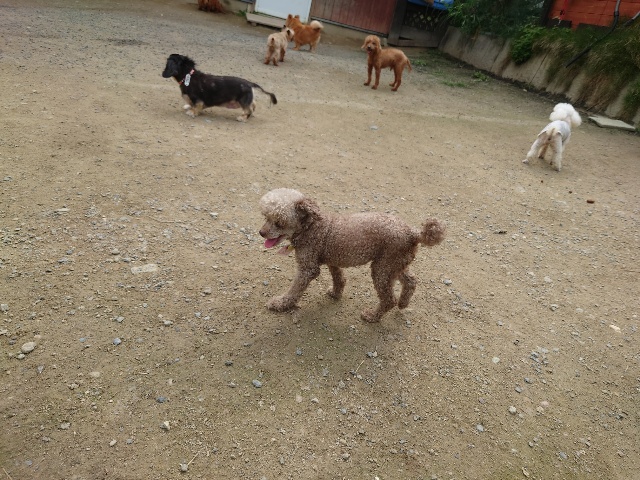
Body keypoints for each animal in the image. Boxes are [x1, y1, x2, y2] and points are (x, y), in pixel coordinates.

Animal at [259, 188, 446, 323]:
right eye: (265, 217)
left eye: (279, 222)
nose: (261, 233)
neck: (310, 227)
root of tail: (413, 232)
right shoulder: (332, 259)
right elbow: (339, 278)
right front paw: (335, 294)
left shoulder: (308, 268)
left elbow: (295, 290)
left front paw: (280, 303)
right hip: (396, 263)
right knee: (411, 280)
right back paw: (403, 303)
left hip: (383, 268)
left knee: (389, 299)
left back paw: (372, 316)